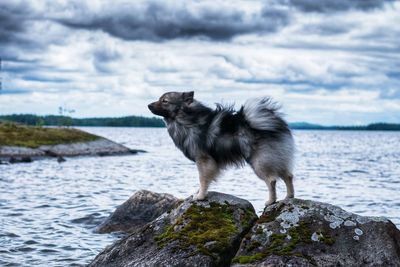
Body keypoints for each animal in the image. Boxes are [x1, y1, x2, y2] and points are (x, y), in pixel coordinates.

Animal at [148, 91, 294, 206]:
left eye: (164, 101)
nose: (148, 105)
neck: (187, 120)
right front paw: (199, 193)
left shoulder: (203, 160)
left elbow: (203, 179)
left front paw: (200, 196)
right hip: (277, 158)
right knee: (288, 176)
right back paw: (289, 197)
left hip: (259, 162)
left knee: (272, 180)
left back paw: (271, 201)